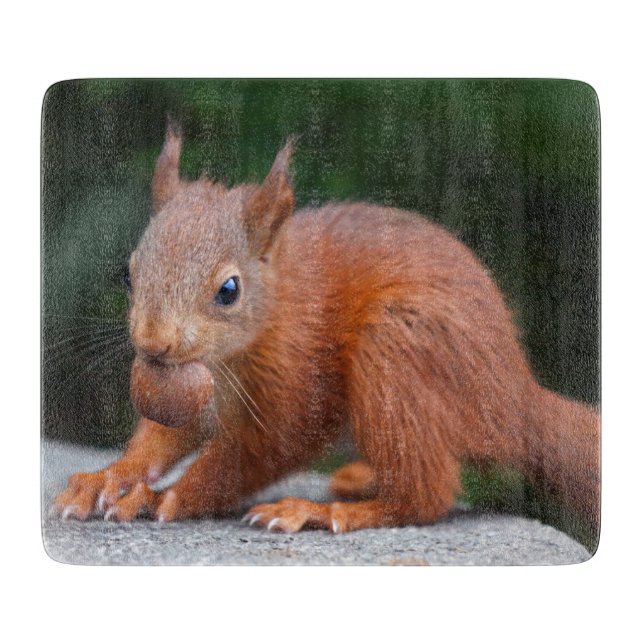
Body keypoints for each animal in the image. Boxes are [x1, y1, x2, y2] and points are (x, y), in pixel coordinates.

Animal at [53, 123, 600, 536]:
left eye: (228, 290)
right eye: (128, 274)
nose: (154, 343)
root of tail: (513, 399)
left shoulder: (299, 373)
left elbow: (263, 450)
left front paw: (161, 497)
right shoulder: (194, 389)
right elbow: (164, 436)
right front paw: (108, 478)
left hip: (397, 350)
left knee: (425, 493)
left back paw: (322, 511)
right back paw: (359, 479)